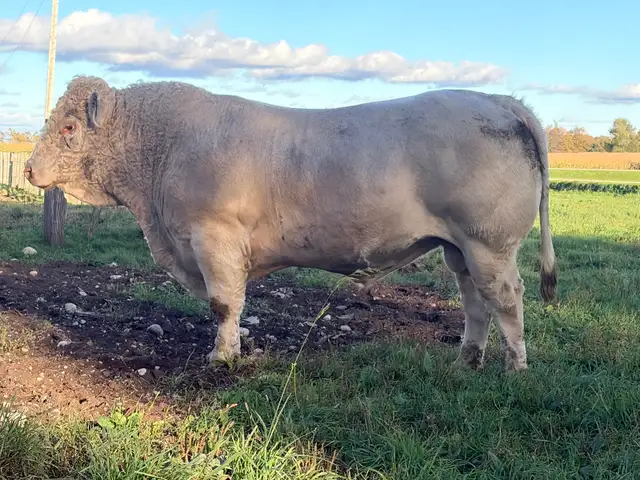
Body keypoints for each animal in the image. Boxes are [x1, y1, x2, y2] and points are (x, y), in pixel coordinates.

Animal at [24, 76, 557, 373]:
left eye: (68, 127)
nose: (28, 169)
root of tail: (500, 100)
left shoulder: (213, 238)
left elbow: (223, 303)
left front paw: (222, 357)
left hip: (489, 243)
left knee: (506, 299)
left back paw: (516, 369)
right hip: (459, 249)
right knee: (475, 302)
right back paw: (466, 360)